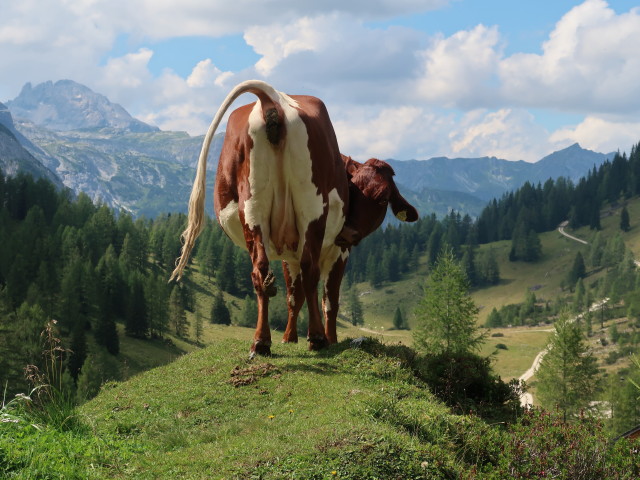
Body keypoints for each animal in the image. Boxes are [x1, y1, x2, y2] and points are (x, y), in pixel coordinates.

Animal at [171, 79, 420, 356]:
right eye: (381, 200)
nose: (348, 233)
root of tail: (272, 100)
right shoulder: (338, 251)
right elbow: (329, 299)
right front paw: (330, 338)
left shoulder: (289, 252)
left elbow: (293, 296)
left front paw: (288, 338)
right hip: (311, 208)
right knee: (311, 271)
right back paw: (317, 338)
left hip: (253, 209)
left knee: (260, 272)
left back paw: (261, 342)